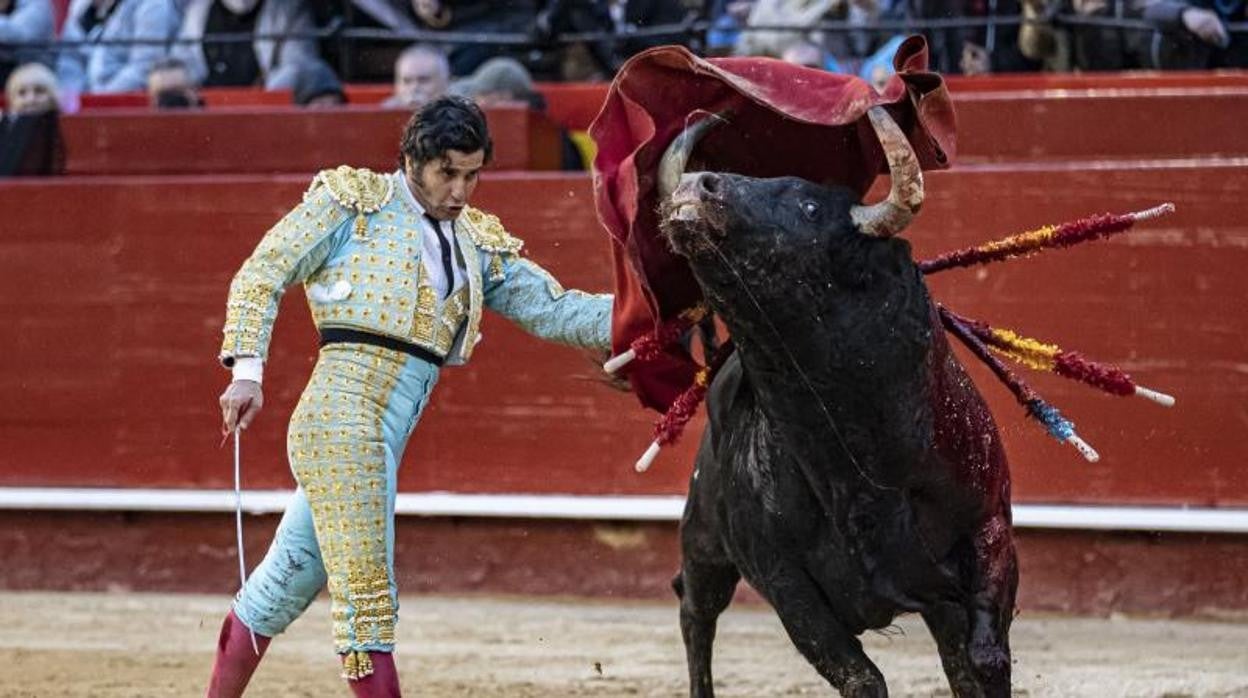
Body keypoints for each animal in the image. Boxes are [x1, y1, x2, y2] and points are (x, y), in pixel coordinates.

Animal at [658, 106, 1018, 694]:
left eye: (808, 205)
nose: (695, 184)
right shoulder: (786, 582)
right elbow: (859, 676)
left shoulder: (989, 526)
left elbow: (986, 657)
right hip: (704, 539)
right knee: (696, 610)